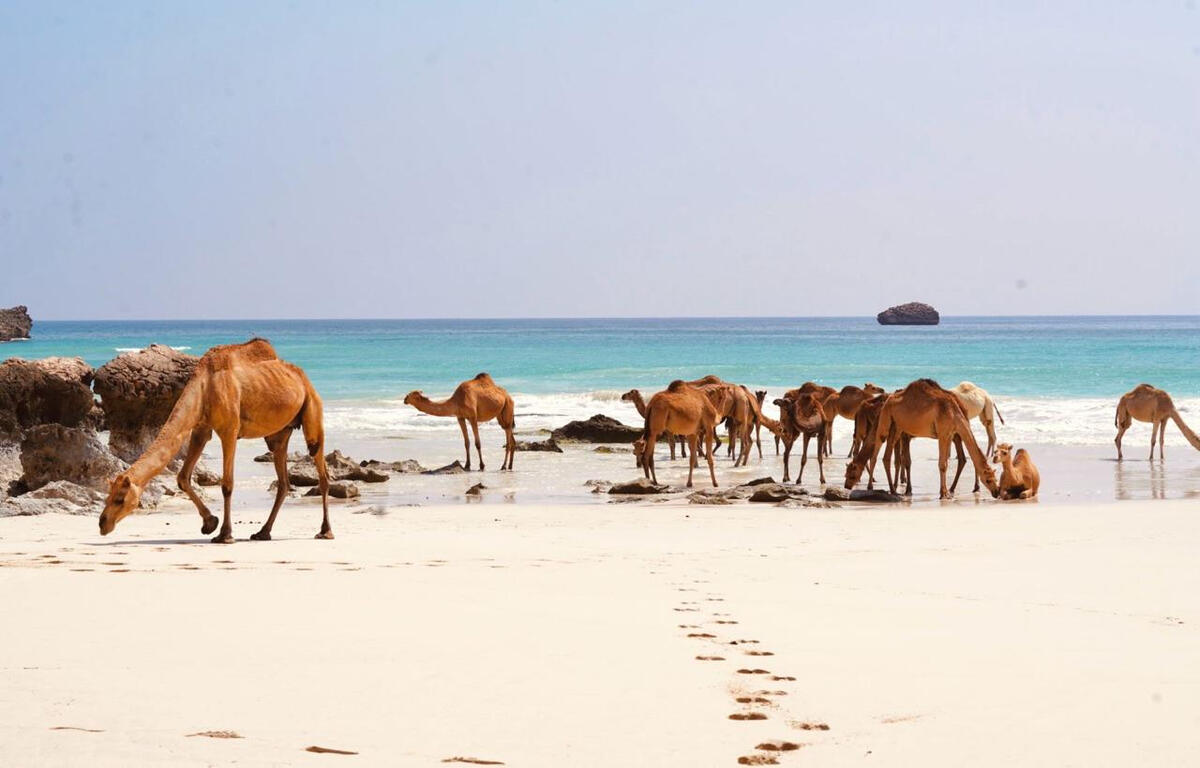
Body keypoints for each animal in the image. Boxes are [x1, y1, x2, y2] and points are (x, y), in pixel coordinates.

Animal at [99, 339, 333, 543]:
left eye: (119, 499)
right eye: (107, 497)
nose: (102, 523)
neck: (204, 386)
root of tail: (303, 377)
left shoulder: (229, 430)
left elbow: (227, 484)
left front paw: (224, 535)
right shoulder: (201, 429)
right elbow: (182, 477)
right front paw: (210, 523)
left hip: (312, 408)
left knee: (320, 468)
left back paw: (325, 531)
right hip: (279, 432)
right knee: (283, 480)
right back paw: (262, 532)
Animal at [846, 379, 999, 499]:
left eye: (994, 479)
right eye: (989, 479)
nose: (997, 492)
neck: (953, 413)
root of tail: (888, 401)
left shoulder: (949, 434)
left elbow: (943, 463)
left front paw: (943, 492)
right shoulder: (943, 433)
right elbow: (941, 464)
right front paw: (943, 493)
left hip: (897, 427)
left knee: (886, 457)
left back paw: (893, 490)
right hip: (885, 421)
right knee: (876, 453)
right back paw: (877, 488)